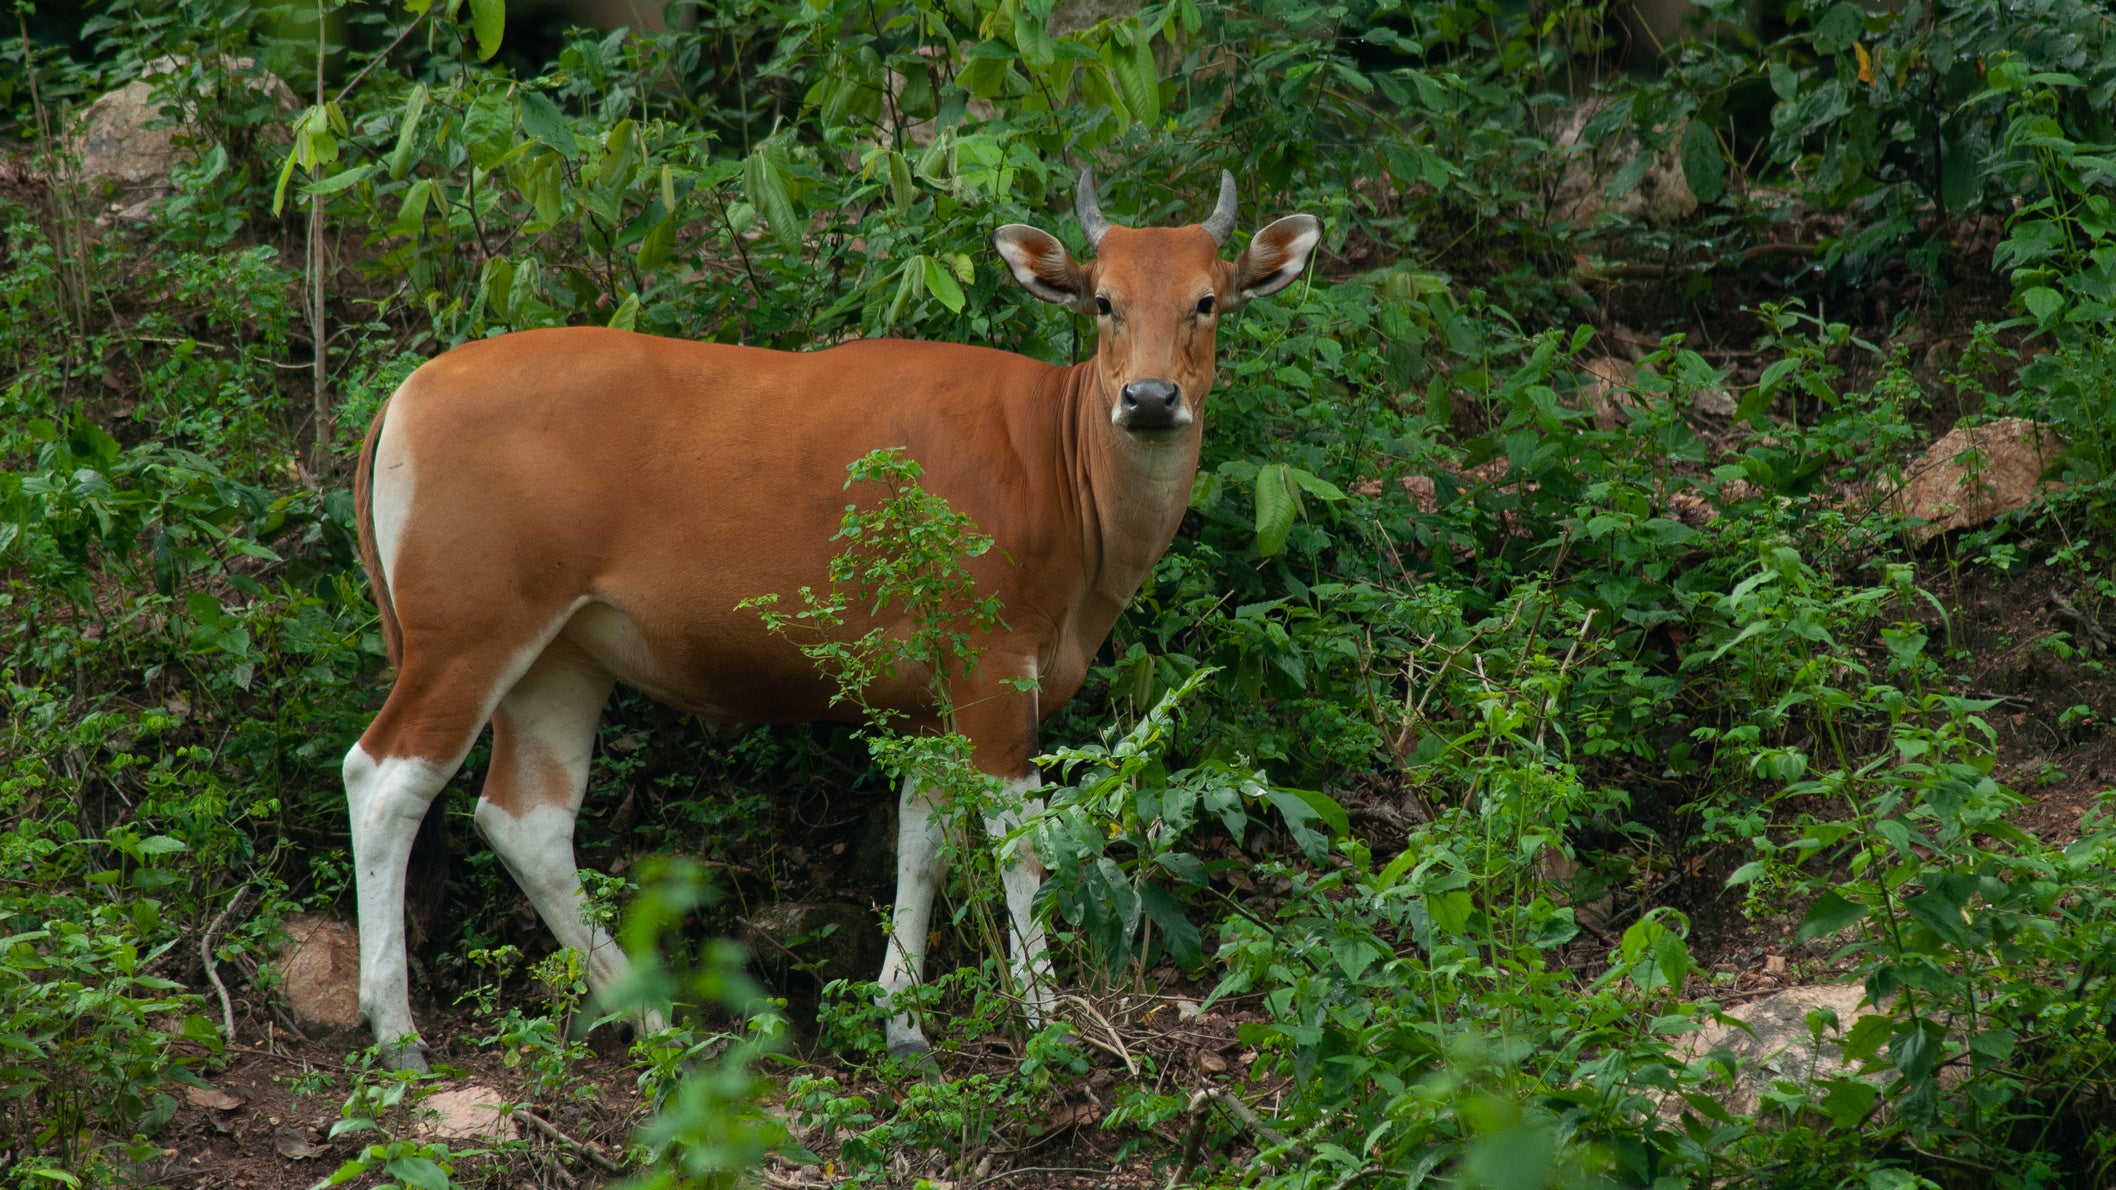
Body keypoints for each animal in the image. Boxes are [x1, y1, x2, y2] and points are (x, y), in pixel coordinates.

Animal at [343, 169, 1322, 1069]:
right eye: (1105, 301)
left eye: (1206, 300)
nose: (1150, 399)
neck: (1057, 468)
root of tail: (406, 393)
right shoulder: (993, 665)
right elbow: (1020, 846)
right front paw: (1047, 1017)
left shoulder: (936, 692)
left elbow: (923, 844)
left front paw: (904, 1025)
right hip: (466, 631)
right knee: (386, 781)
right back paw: (398, 1033)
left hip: (562, 654)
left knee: (526, 821)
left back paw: (653, 1017)